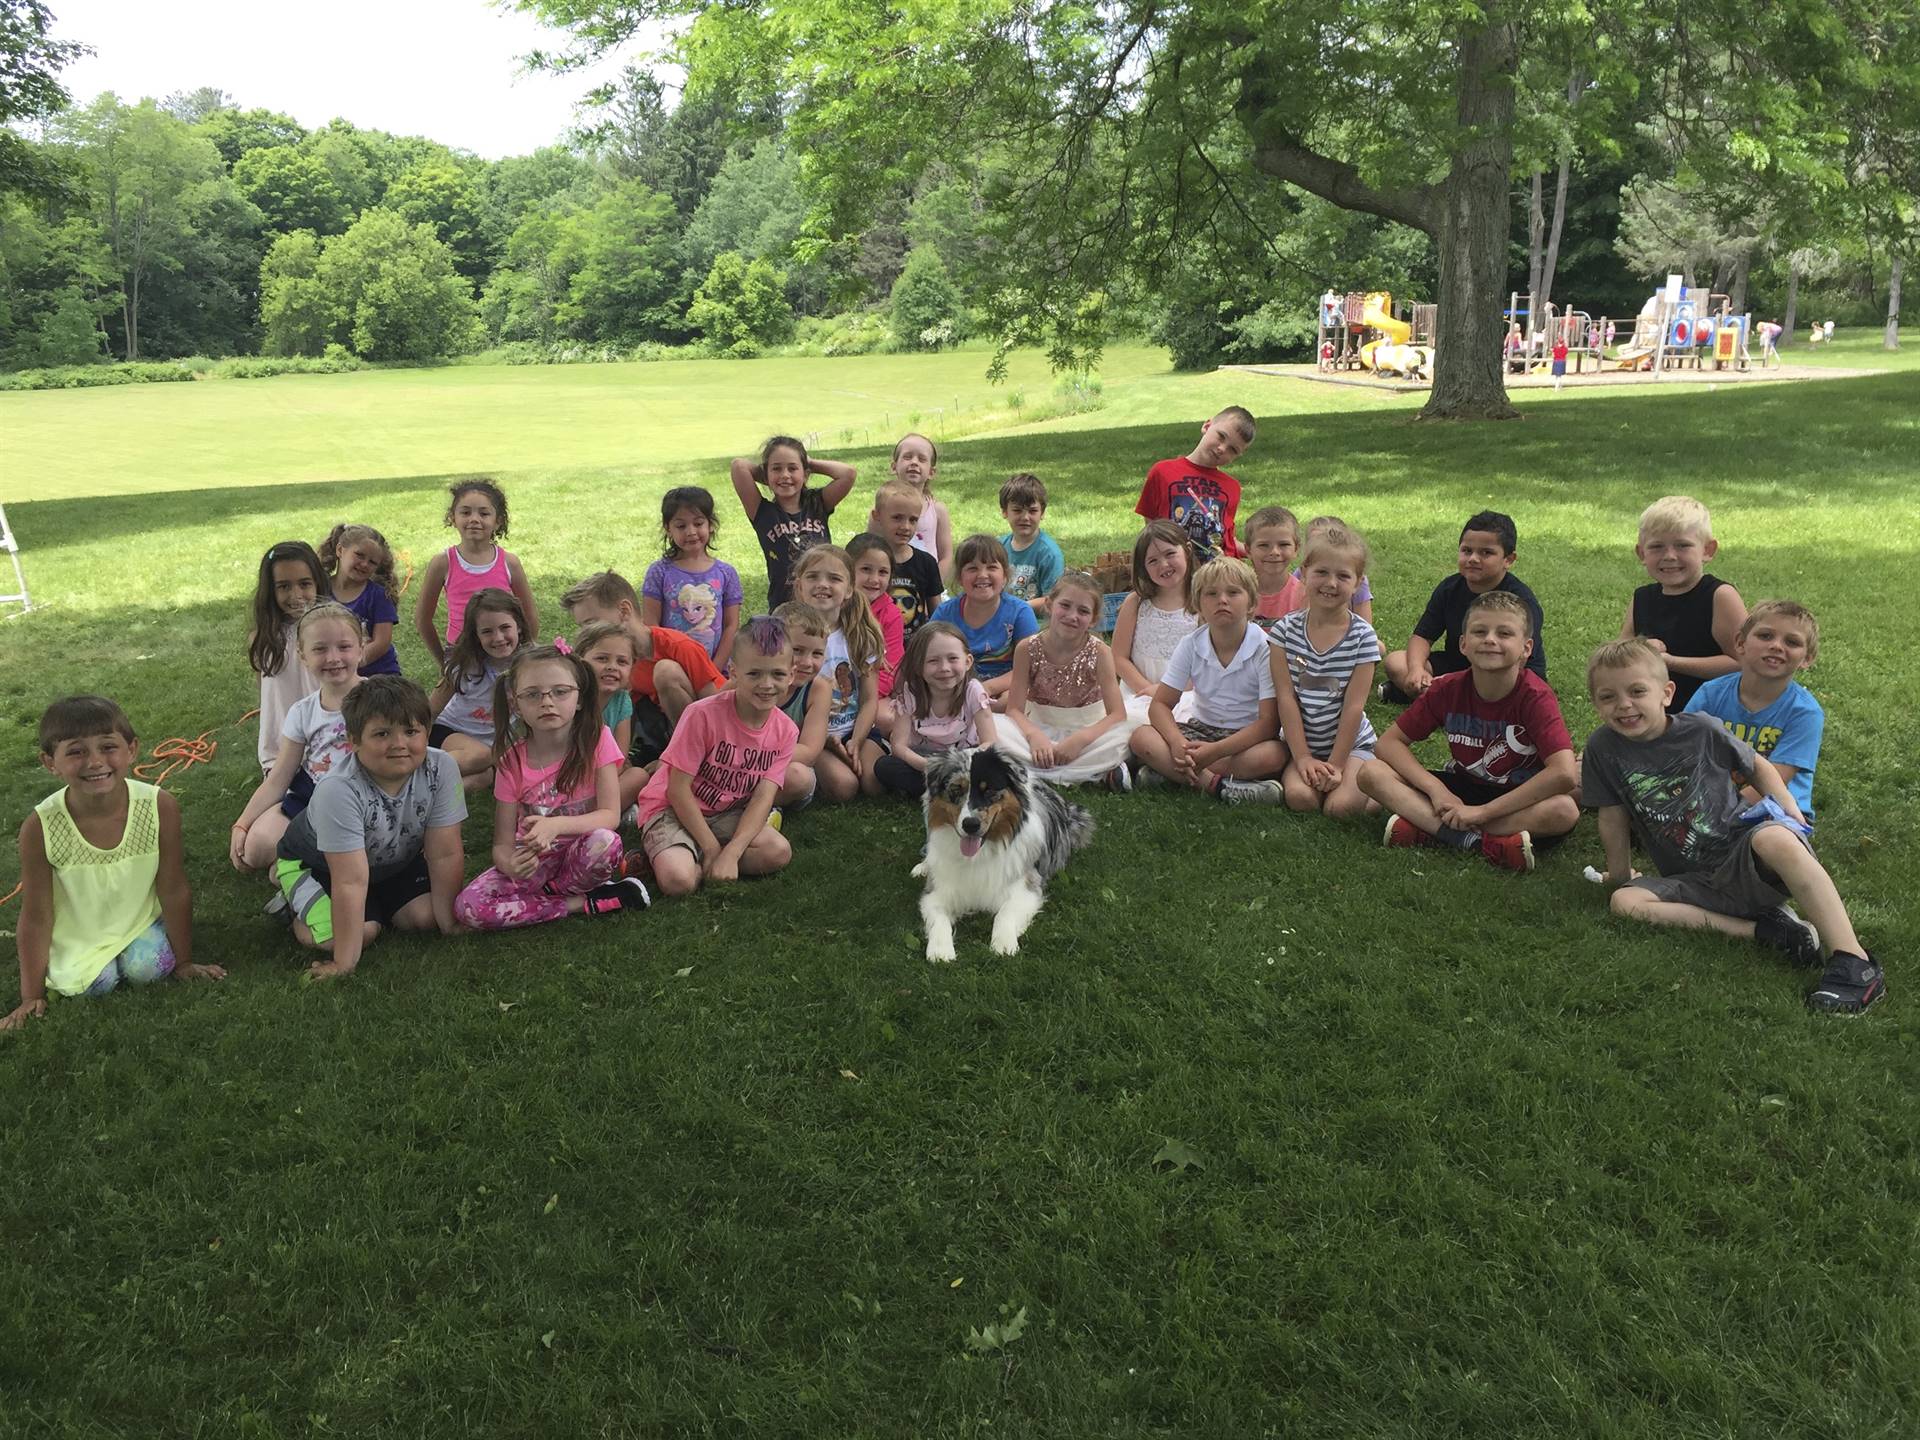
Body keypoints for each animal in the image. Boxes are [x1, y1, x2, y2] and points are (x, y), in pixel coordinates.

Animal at [913, 748, 1098, 963]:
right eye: (956, 789)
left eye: (989, 790)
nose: (970, 825)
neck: (979, 853)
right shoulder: (936, 892)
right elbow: (939, 919)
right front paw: (940, 950)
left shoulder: (1026, 889)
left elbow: (1004, 913)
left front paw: (1003, 945)